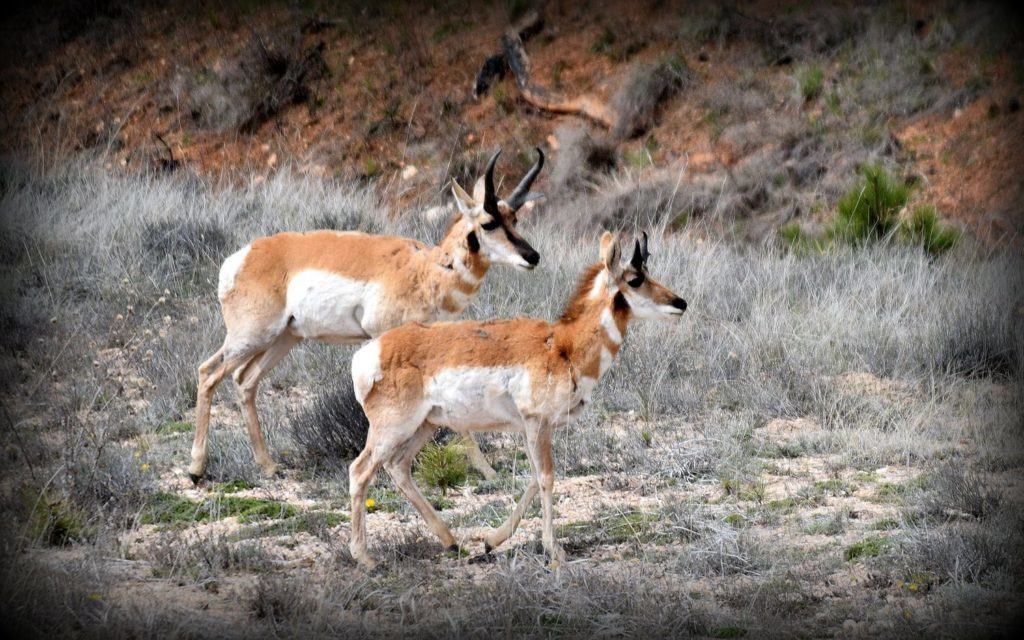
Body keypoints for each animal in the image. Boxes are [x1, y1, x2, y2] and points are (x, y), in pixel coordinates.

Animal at [189, 148, 548, 479]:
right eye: (488, 223)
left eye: (515, 219)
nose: (532, 256)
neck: (425, 270)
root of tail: (244, 256)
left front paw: (484, 469)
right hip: (253, 336)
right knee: (209, 372)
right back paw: (196, 469)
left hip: (283, 338)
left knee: (244, 381)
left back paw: (268, 465)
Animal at [348, 230, 684, 569]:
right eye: (635, 279)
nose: (680, 303)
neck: (562, 346)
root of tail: (372, 351)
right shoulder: (537, 422)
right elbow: (546, 477)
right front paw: (555, 551)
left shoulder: (529, 428)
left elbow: (535, 478)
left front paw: (491, 541)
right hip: (394, 428)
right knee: (360, 470)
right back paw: (365, 557)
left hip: (425, 425)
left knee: (398, 467)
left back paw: (452, 542)